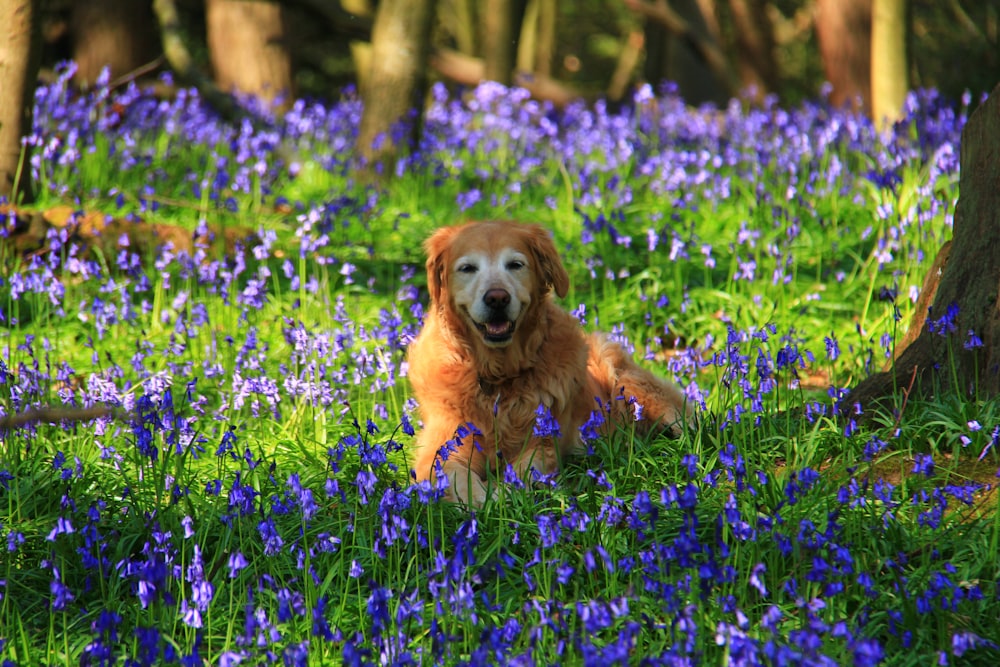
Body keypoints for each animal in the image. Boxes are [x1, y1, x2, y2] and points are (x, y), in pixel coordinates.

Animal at [406, 220, 688, 506]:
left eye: (515, 264)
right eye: (467, 268)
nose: (497, 298)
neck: (498, 378)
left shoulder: (543, 443)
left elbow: (525, 470)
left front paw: (503, 495)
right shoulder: (442, 446)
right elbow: (454, 475)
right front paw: (481, 500)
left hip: (634, 385)